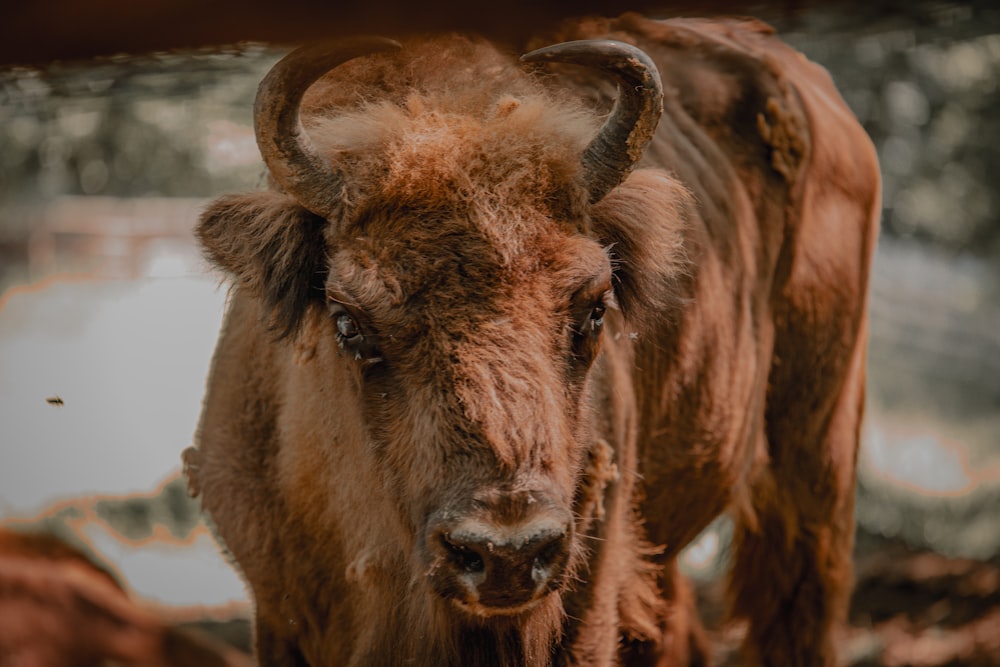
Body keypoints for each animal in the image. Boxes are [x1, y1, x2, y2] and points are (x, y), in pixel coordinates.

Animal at [184, 11, 880, 667]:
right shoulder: (277, 616)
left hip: (815, 459)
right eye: (348, 321)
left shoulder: (586, 605)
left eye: (595, 309)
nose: (507, 554)